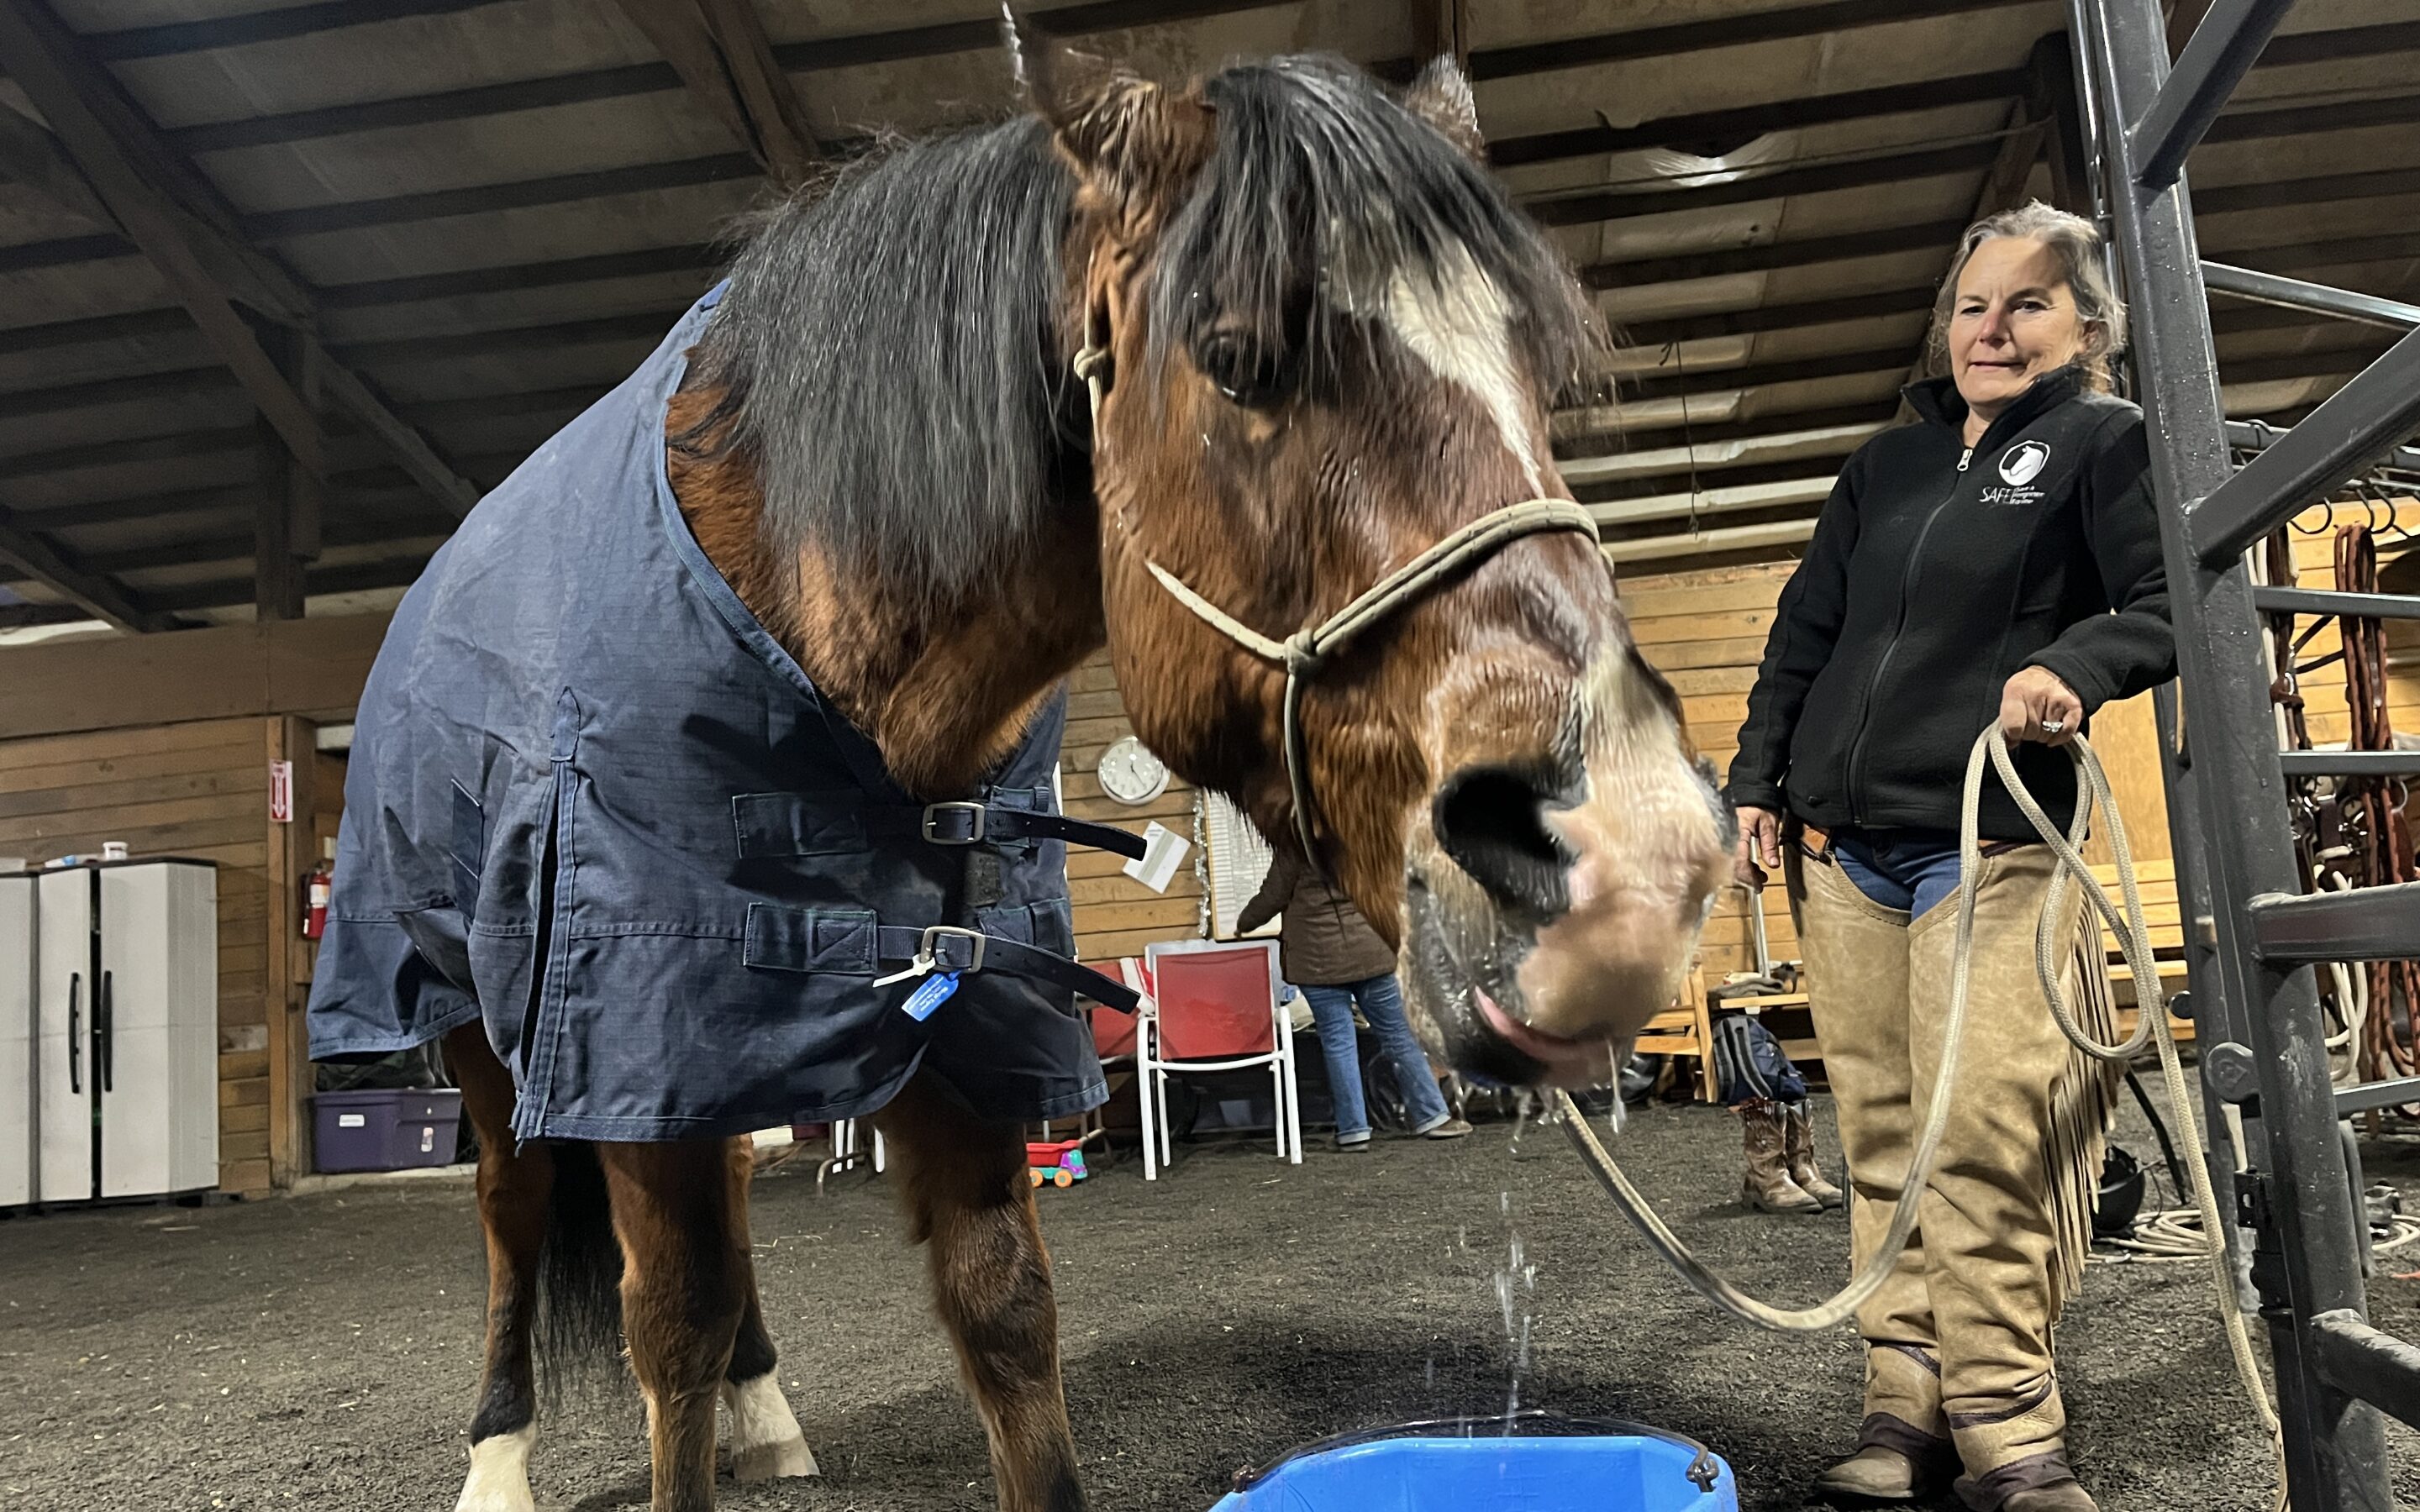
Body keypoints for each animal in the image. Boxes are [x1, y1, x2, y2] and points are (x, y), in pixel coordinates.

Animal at [450, 32, 1742, 1509]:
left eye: (1544, 376)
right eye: (1236, 358)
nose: (1637, 864)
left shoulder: (956, 1012)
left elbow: (1004, 1309)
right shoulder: (645, 1012)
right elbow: (672, 1320)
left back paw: (765, 1412)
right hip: (495, 1043)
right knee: (515, 1221)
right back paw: (500, 1458)